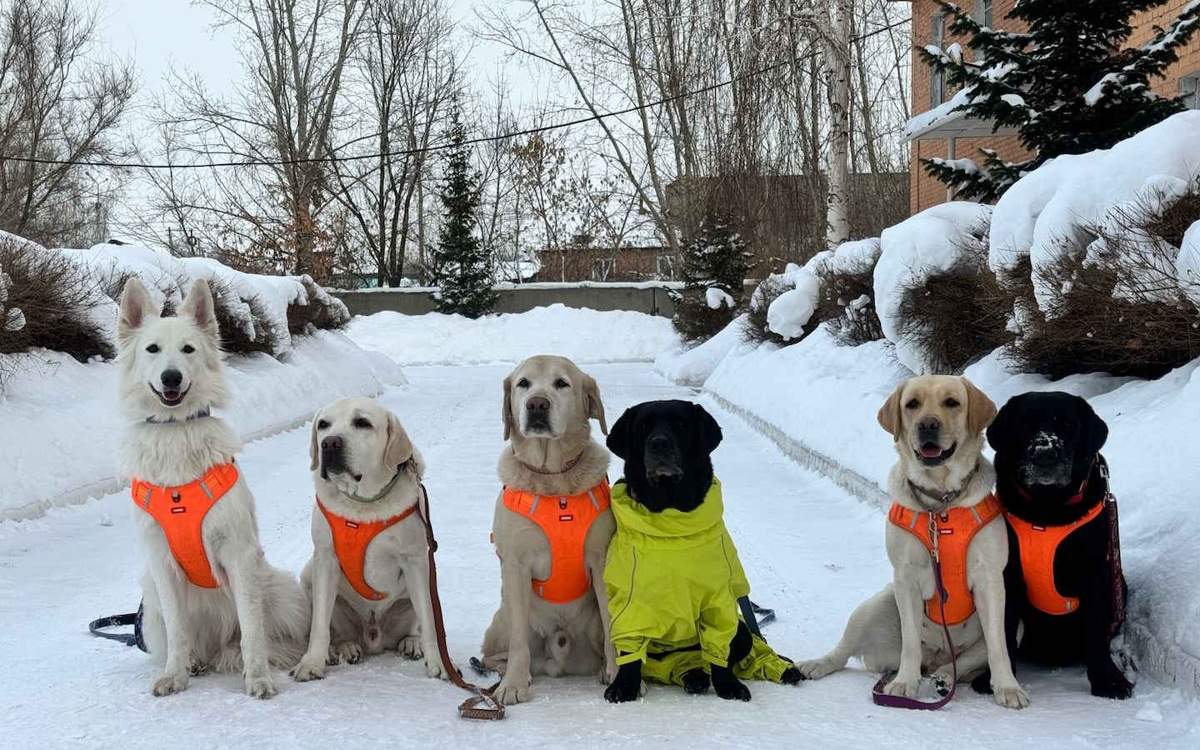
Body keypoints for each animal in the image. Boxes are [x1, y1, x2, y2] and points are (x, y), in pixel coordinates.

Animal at [116, 278, 307, 700]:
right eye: (152, 349)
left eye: (188, 349)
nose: (171, 377)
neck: (176, 433)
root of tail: (219, 647)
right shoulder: (162, 565)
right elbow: (178, 631)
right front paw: (175, 675)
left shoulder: (238, 554)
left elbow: (252, 631)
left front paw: (259, 677)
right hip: (150, 601)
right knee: (189, 642)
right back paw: (195, 662)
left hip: (278, 588)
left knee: (267, 637)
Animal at [979, 388, 1128, 700]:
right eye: (1025, 424)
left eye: (1068, 424)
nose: (1045, 453)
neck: (1046, 509)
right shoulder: (1007, 575)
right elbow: (1004, 629)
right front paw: (995, 679)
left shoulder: (1096, 572)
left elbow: (1096, 631)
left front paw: (1108, 681)